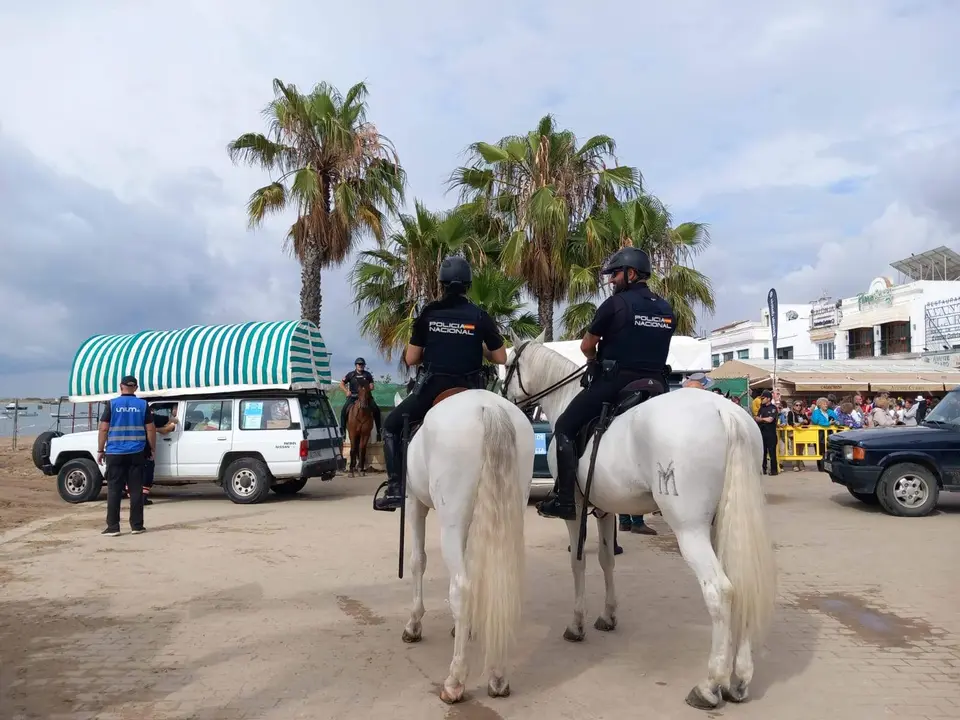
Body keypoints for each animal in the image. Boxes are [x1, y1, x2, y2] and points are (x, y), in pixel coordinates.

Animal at [396, 388, 532, 704]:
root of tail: (489, 407)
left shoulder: (414, 503)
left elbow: (417, 560)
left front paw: (414, 624)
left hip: (451, 522)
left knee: (461, 588)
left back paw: (455, 681)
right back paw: (498, 676)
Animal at [498, 340, 776, 712]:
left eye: (509, 367)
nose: (504, 400)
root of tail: (725, 411)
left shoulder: (575, 509)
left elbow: (577, 562)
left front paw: (577, 624)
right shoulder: (605, 510)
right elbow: (606, 560)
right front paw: (608, 616)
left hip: (690, 529)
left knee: (720, 590)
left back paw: (710, 686)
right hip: (725, 523)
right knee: (742, 583)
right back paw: (740, 679)